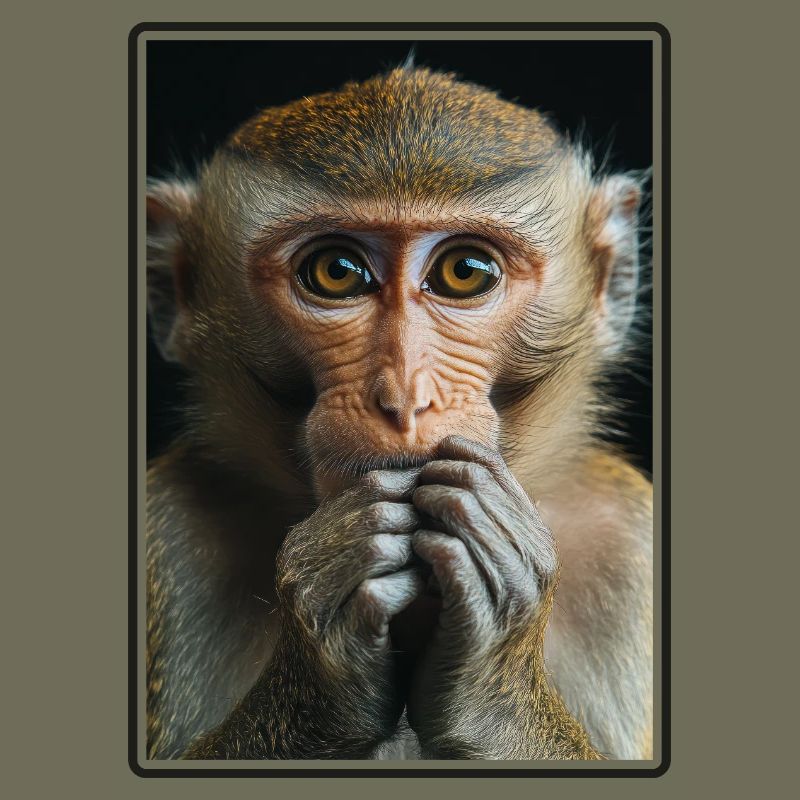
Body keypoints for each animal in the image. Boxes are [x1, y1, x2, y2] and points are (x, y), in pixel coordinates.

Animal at [145, 65, 653, 762]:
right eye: (336, 272)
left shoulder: (631, 541)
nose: (404, 396)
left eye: (465, 272)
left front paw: (493, 683)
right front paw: (324, 659)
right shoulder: (169, 525)